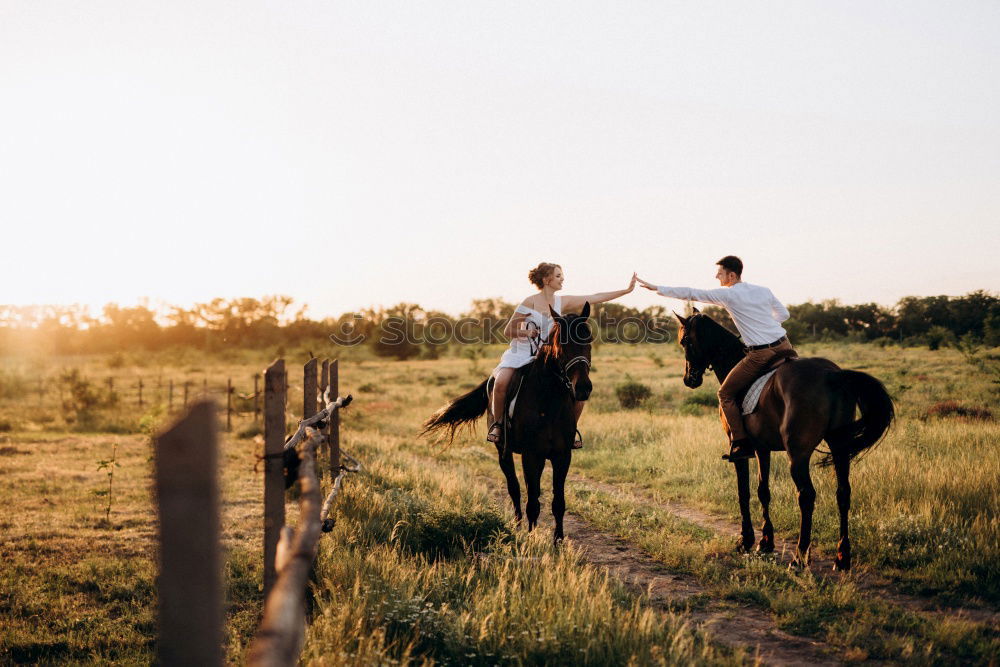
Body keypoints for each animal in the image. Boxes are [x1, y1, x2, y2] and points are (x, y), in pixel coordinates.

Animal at [422, 302, 592, 544]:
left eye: (589, 339)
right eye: (562, 343)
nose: (583, 388)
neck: (548, 402)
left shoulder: (562, 455)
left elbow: (558, 502)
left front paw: (558, 541)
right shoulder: (532, 455)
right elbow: (532, 501)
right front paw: (531, 539)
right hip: (503, 451)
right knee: (514, 488)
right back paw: (517, 525)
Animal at [676, 310, 896, 572]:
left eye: (684, 341)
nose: (689, 379)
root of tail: (831, 375)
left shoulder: (742, 452)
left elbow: (743, 492)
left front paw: (746, 540)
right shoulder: (762, 449)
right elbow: (763, 491)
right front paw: (765, 542)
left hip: (798, 455)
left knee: (806, 496)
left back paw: (800, 557)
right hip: (839, 448)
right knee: (843, 493)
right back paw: (842, 557)